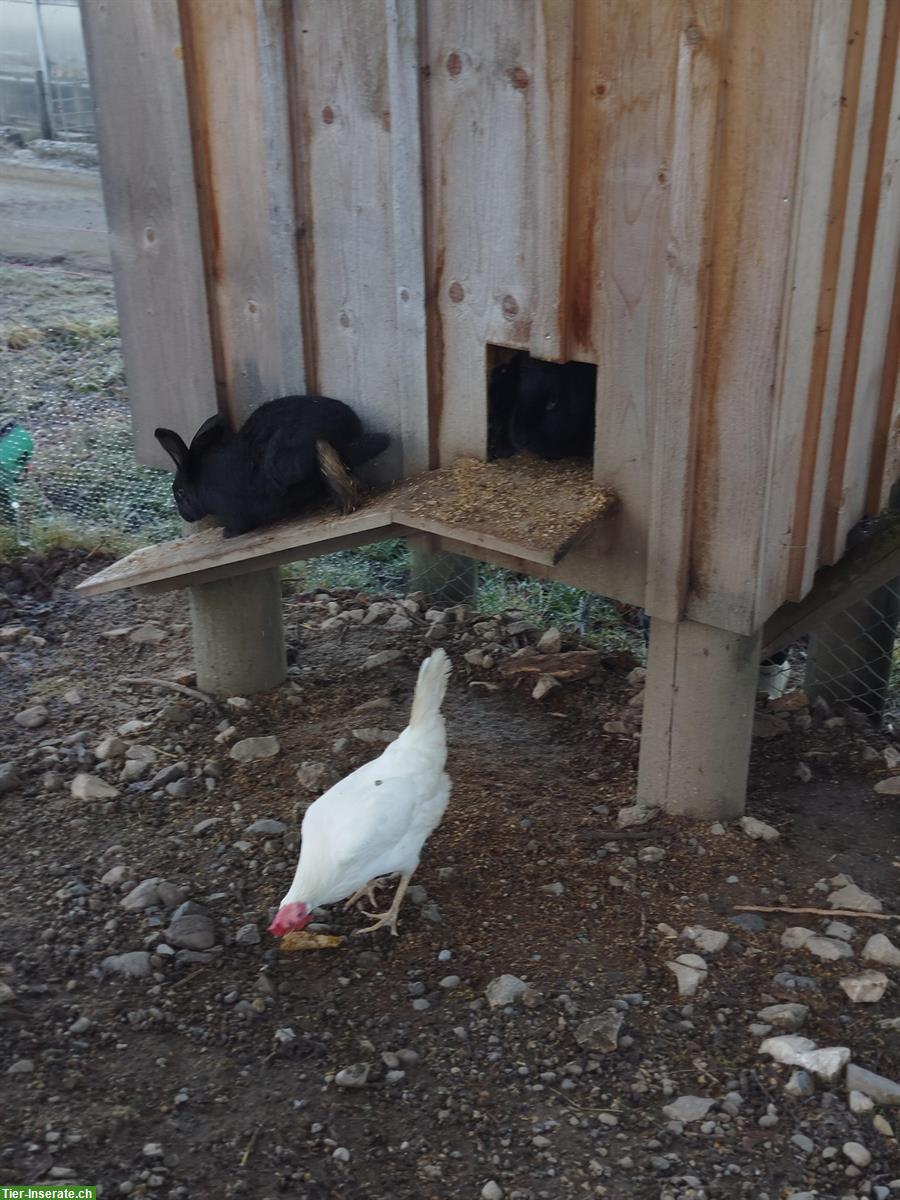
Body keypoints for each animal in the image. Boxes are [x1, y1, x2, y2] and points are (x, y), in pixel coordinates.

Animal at [154, 394, 390, 538]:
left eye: (180, 492)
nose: (184, 515)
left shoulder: (234, 513)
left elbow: (240, 525)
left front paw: (228, 534)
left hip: (288, 465)